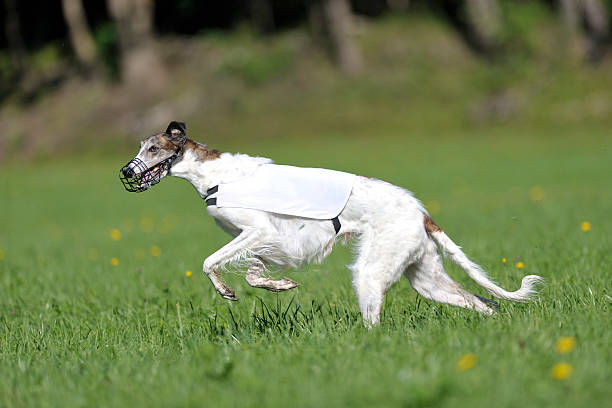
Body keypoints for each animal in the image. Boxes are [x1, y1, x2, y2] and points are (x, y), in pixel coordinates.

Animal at [118, 121, 540, 326]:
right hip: (426, 278)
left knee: (375, 321)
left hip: (371, 273)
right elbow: (255, 272)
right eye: (140, 147)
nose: (125, 172)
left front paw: (227, 290)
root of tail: (420, 211)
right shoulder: (263, 241)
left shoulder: (259, 231)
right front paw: (278, 285)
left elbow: (210, 263)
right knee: (482, 303)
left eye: (153, 148)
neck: (214, 174)